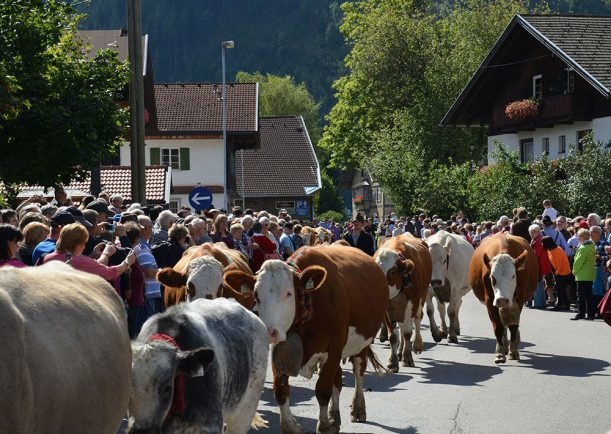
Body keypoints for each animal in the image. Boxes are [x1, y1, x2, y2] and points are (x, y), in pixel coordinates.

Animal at [224, 244, 388, 434]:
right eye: (256, 295)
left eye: (289, 293)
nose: (269, 331)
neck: (308, 305)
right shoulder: (281, 348)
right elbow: (280, 390)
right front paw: (291, 426)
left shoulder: (335, 347)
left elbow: (323, 389)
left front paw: (323, 426)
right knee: (338, 380)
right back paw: (334, 417)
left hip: (361, 344)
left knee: (358, 371)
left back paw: (358, 408)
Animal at [376, 232, 432, 372]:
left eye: (392, 272)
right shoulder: (387, 308)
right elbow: (393, 335)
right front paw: (393, 362)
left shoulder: (413, 302)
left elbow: (407, 333)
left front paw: (407, 358)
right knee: (401, 327)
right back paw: (399, 352)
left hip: (421, 297)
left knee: (417, 319)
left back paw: (417, 345)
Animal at [470, 234, 536, 362]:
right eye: (492, 277)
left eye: (513, 276)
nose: (502, 300)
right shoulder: (490, 301)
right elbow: (498, 327)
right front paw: (499, 353)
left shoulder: (519, 300)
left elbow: (513, 326)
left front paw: (513, 351)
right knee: (503, 325)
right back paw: (504, 346)